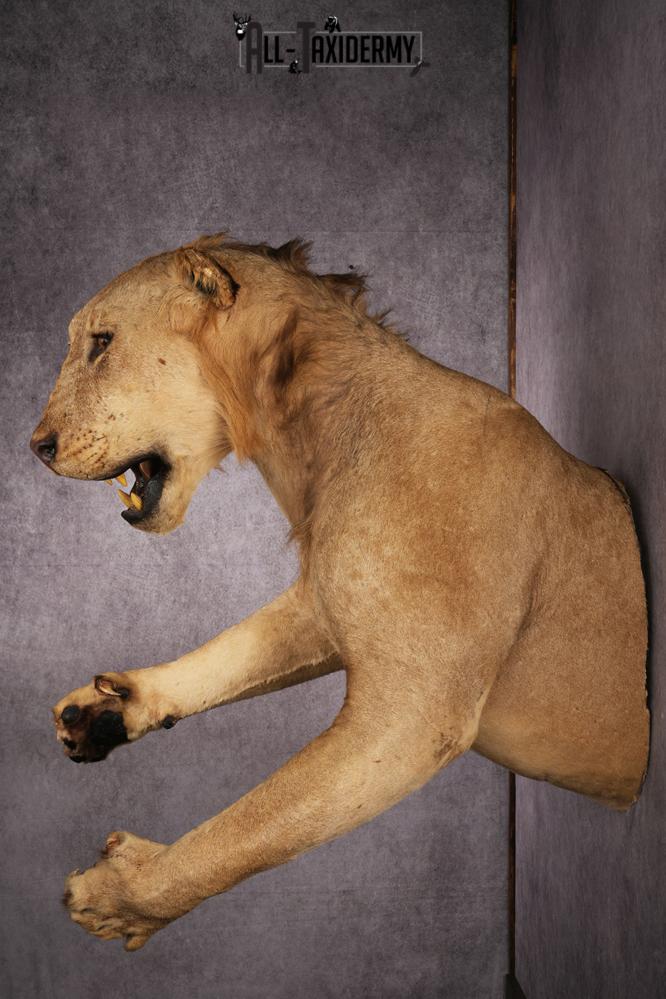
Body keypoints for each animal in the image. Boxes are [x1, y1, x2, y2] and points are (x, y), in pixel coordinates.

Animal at [30, 234, 649, 951]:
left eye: (101, 343)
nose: (36, 447)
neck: (310, 445)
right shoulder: (325, 601)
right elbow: (230, 653)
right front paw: (107, 709)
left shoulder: (412, 718)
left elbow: (249, 829)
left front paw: (124, 897)